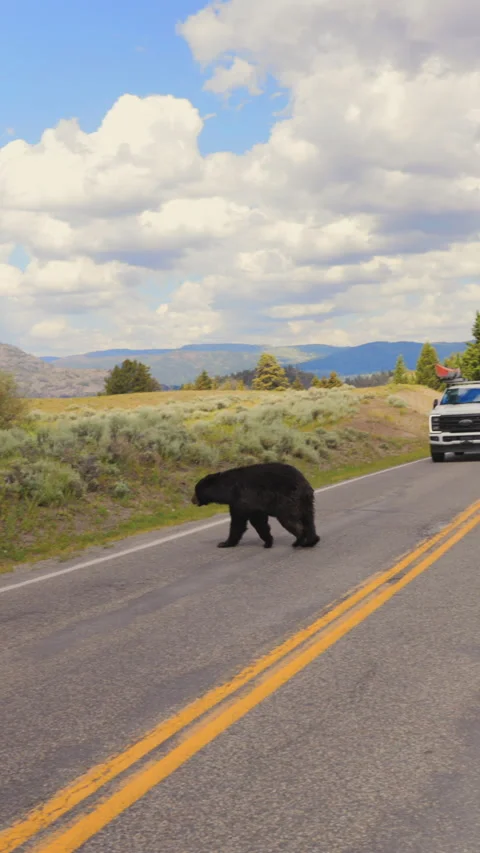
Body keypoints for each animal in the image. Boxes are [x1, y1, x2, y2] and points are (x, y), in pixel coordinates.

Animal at [191, 461, 320, 549]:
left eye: (195, 490)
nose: (192, 500)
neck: (228, 489)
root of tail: (303, 484)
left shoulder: (243, 499)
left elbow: (241, 522)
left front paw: (224, 543)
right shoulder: (247, 504)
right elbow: (259, 521)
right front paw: (268, 541)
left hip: (287, 501)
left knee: (289, 519)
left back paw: (299, 540)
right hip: (306, 502)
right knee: (309, 519)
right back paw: (312, 540)